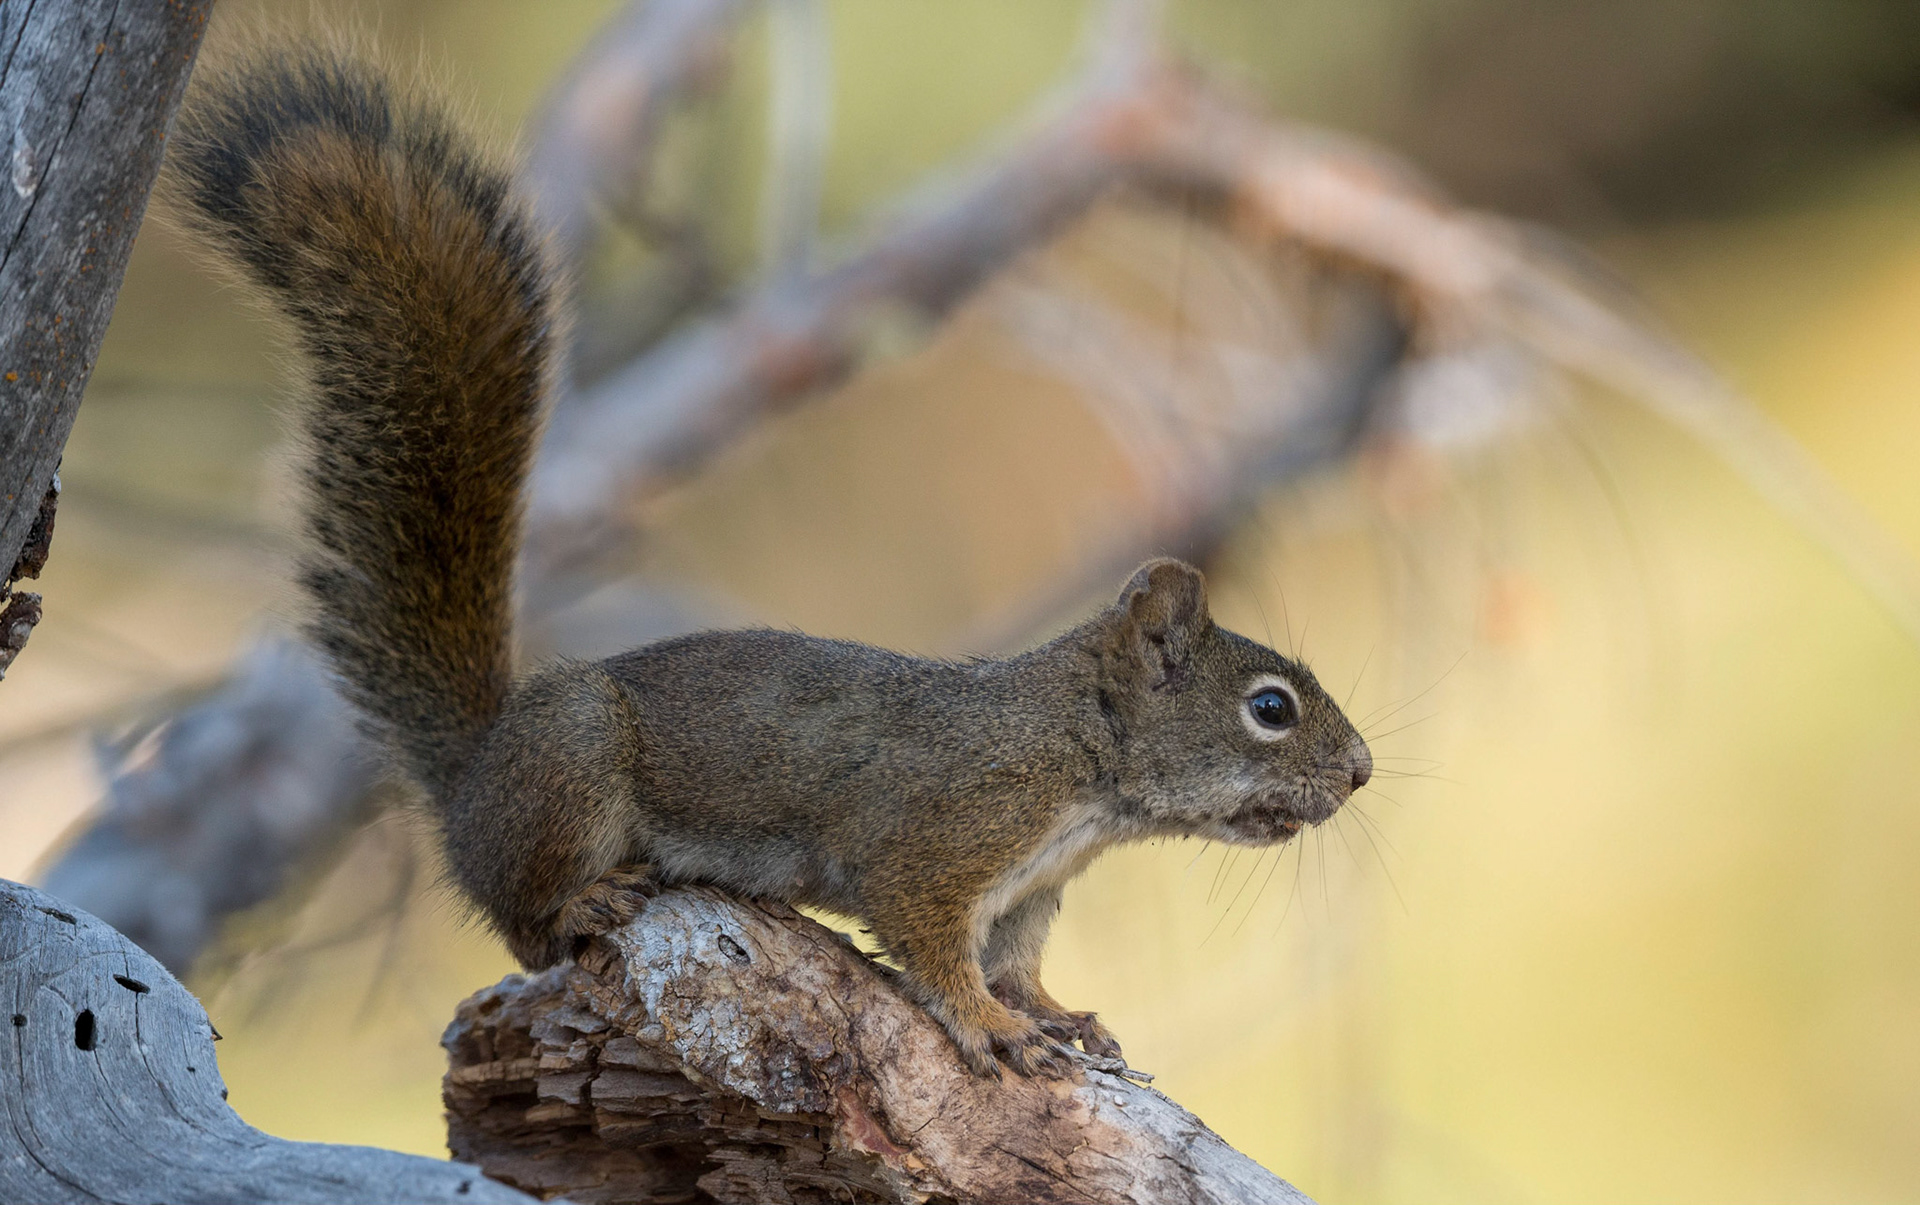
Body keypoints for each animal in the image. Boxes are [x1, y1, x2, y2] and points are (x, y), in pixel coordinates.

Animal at [166, 45, 1374, 1079]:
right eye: (1271, 706)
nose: (1362, 772)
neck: (1076, 756)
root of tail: (473, 777)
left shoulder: (1030, 890)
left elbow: (1018, 963)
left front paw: (1056, 1013)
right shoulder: (938, 837)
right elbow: (934, 944)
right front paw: (989, 1028)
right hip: (571, 760)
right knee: (523, 922)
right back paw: (581, 903)